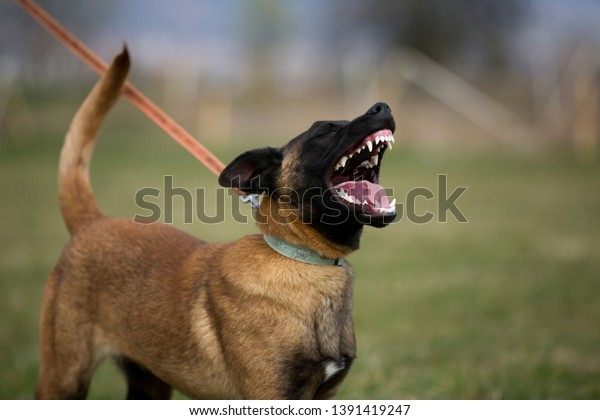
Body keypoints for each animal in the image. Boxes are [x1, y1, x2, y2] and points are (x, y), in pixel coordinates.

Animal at [35, 47, 396, 398]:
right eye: (325, 130)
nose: (383, 107)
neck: (303, 259)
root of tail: (93, 222)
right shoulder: (269, 396)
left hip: (149, 384)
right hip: (65, 379)